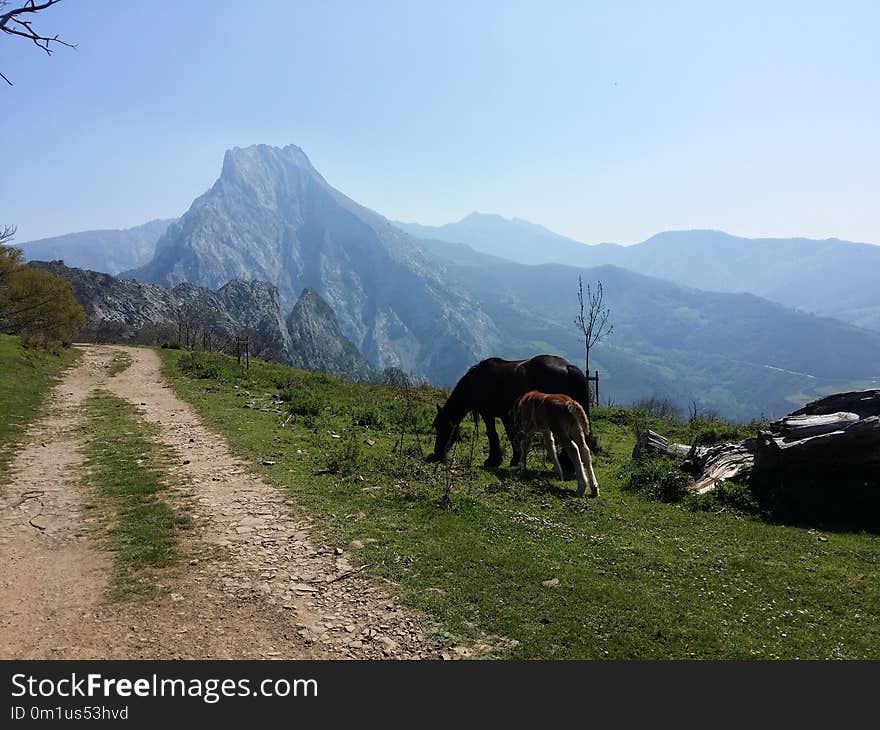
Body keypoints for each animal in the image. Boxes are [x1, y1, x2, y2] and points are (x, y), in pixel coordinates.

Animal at [428, 354, 592, 466]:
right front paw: (515, 459)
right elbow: (511, 434)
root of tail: (568, 367)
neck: (476, 382)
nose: (437, 452)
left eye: (443, 427)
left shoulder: (488, 414)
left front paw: (493, 460)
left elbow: (492, 435)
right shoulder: (505, 415)